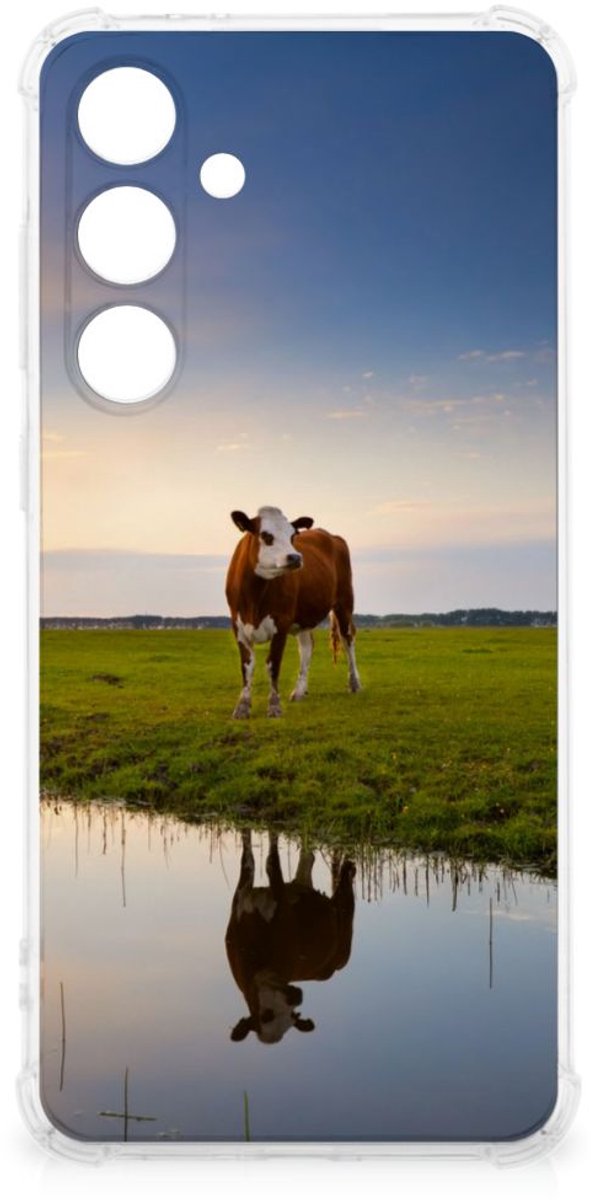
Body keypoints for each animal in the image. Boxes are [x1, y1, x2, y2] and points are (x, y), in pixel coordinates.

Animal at [225, 506, 361, 718]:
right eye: (266, 535)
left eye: (292, 536)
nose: (296, 557)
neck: (254, 597)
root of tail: (331, 535)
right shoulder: (238, 626)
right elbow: (247, 666)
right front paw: (242, 707)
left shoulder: (281, 623)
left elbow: (273, 664)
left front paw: (274, 706)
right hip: (303, 617)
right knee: (307, 646)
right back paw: (299, 691)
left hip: (344, 602)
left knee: (348, 639)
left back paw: (354, 683)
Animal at [225, 830, 356, 1044]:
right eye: (266, 1015)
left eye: (292, 1016)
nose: (296, 997)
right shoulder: (240, 899)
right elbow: (248, 859)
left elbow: (271, 862)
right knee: (308, 859)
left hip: (344, 931)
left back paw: (349, 868)